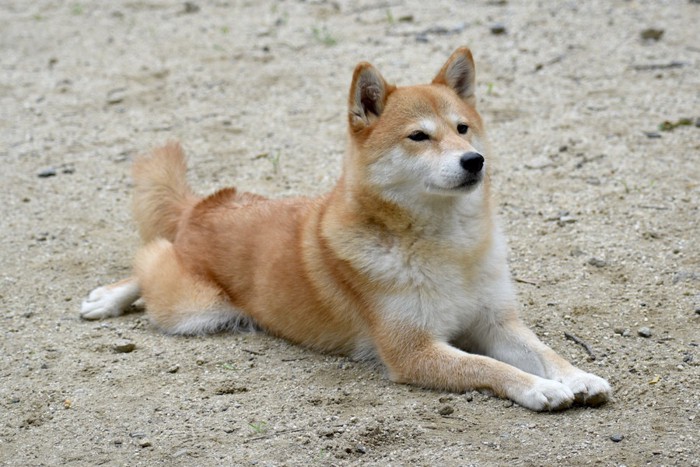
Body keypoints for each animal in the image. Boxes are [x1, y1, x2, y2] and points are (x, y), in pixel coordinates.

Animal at [79, 47, 608, 412]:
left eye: (462, 128)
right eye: (419, 136)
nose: (474, 160)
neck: (447, 247)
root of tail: (204, 207)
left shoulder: (496, 321)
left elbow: (541, 350)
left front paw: (576, 375)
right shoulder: (413, 350)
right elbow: (489, 366)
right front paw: (539, 388)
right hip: (193, 308)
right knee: (151, 261)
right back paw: (108, 297)